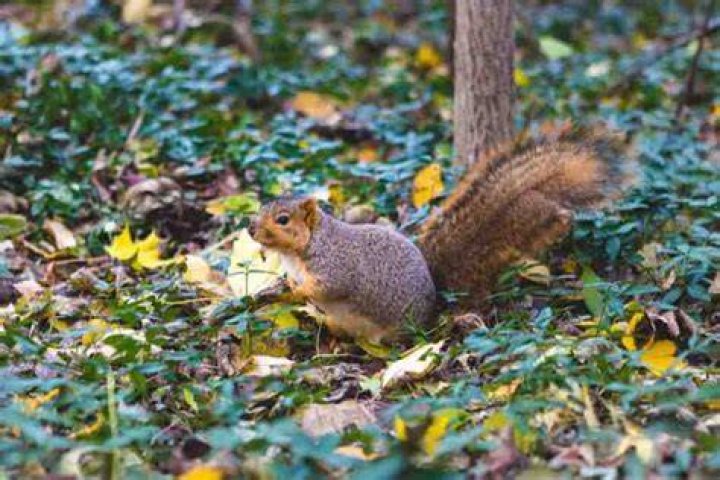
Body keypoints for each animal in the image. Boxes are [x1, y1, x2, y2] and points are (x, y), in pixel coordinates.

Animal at [248, 128, 632, 344]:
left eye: (282, 219)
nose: (250, 228)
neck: (302, 251)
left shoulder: (335, 266)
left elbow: (328, 287)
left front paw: (297, 290)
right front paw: (281, 286)